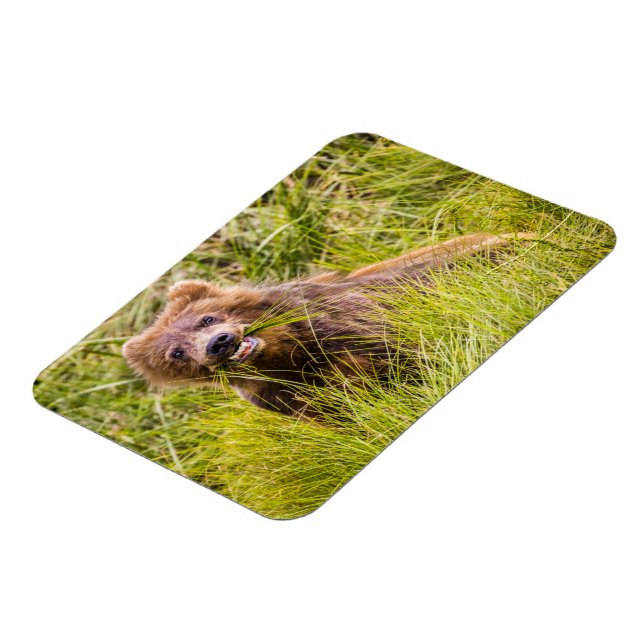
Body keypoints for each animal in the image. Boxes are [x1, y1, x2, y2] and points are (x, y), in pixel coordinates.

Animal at [123, 232, 534, 417]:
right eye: (175, 353)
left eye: (206, 318)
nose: (219, 343)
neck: (288, 355)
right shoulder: (281, 397)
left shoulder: (346, 329)